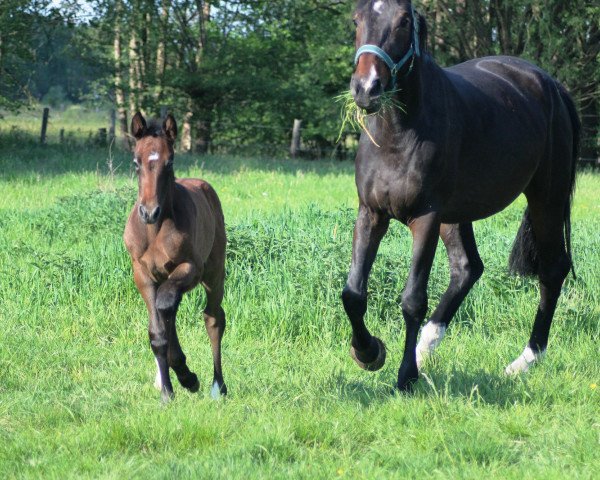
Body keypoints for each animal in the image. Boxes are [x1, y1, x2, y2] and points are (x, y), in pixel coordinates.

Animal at [122, 111, 227, 402]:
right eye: (135, 162)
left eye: (169, 162)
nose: (149, 212)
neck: (155, 231)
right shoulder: (143, 275)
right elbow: (158, 331)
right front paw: (168, 390)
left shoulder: (191, 268)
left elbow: (166, 306)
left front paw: (185, 377)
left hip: (214, 272)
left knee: (213, 318)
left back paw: (218, 386)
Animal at [344, 0, 580, 392]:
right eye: (356, 20)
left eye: (404, 21)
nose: (367, 89)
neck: (398, 134)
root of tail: (551, 86)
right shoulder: (371, 214)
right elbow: (353, 294)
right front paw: (369, 352)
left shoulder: (424, 218)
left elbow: (413, 299)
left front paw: (405, 377)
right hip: (456, 215)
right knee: (468, 268)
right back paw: (425, 351)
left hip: (546, 199)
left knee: (552, 270)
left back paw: (524, 361)